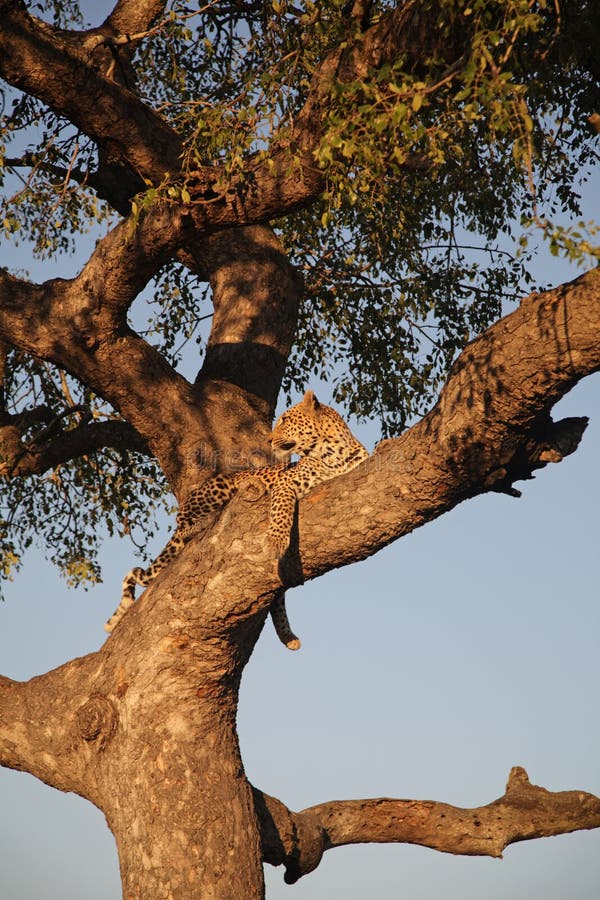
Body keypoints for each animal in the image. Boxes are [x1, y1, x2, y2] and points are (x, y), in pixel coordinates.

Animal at [105, 386, 368, 648]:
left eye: (285, 420)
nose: (268, 440)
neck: (334, 453)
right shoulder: (285, 483)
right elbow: (280, 511)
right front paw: (275, 542)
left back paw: (288, 636)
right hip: (219, 487)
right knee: (183, 524)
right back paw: (202, 523)